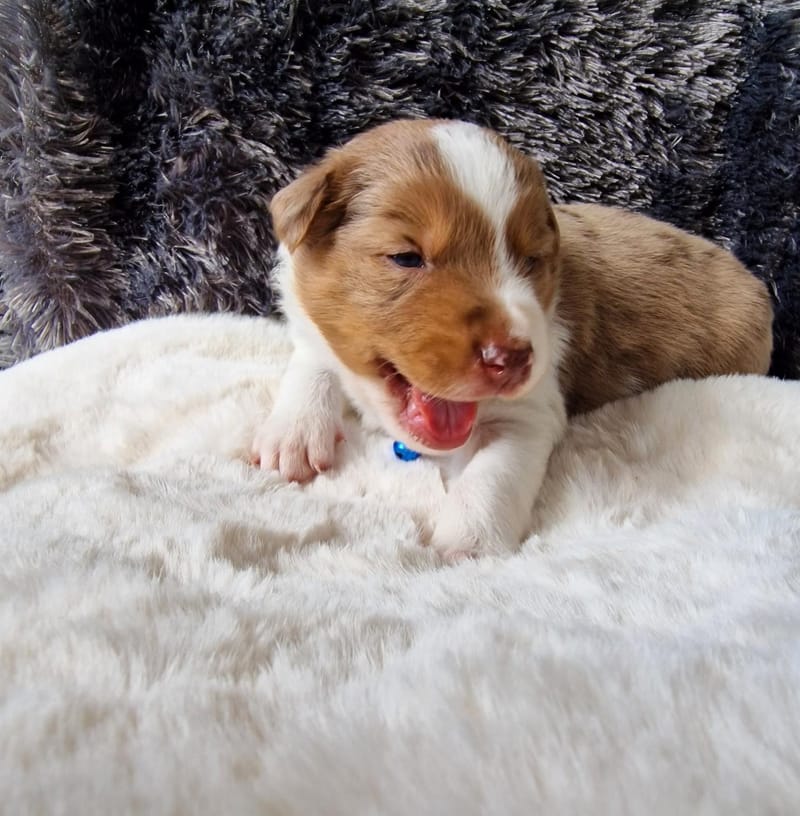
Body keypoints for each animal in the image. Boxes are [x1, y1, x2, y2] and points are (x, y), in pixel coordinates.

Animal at [252, 118, 776, 556]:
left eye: (531, 260)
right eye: (406, 258)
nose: (511, 357)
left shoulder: (531, 411)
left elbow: (494, 473)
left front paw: (467, 540)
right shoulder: (312, 329)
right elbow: (312, 360)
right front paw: (294, 433)